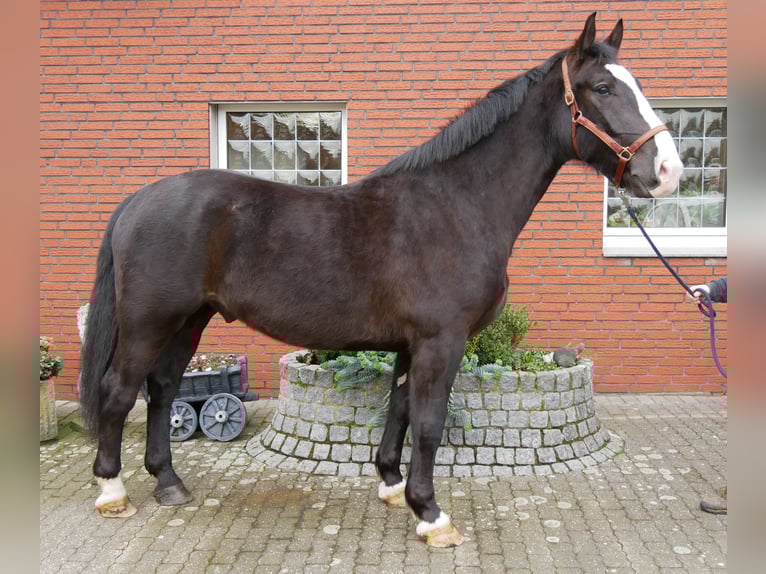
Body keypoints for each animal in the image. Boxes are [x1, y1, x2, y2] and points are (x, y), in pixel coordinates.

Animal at [79, 13, 682, 547]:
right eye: (602, 87)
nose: (668, 171)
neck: (457, 204)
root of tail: (138, 200)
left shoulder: (411, 344)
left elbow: (399, 409)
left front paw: (393, 489)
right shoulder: (442, 341)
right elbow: (430, 422)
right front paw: (432, 516)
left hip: (189, 321)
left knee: (161, 389)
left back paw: (168, 482)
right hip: (148, 323)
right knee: (119, 391)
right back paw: (112, 491)